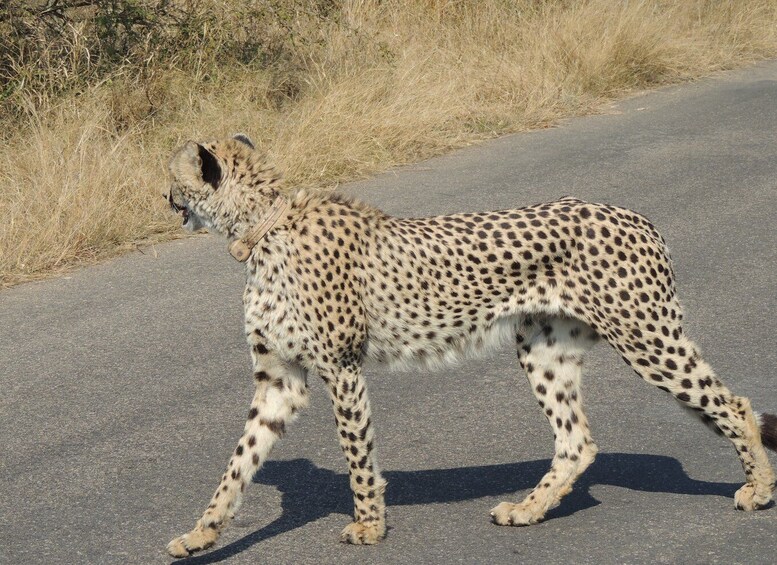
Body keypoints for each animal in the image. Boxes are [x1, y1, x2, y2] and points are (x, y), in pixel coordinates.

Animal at [161, 135, 772, 556]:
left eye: (173, 175)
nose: (162, 195)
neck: (260, 232)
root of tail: (634, 215)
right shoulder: (279, 382)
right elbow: (238, 463)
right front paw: (200, 535)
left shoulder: (342, 369)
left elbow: (357, 455)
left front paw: (369, 525)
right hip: (543, 347)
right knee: (576, 441)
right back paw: (526, 510)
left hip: (646, 337)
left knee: (733, 404)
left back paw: (759, 489)